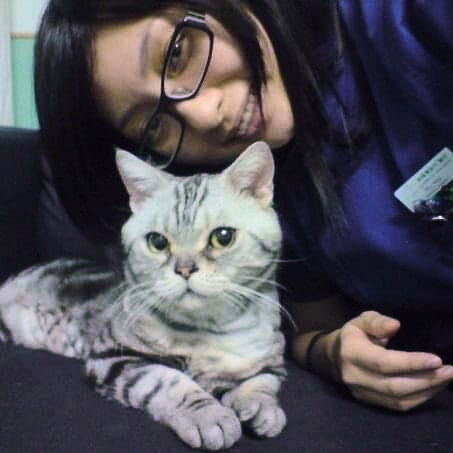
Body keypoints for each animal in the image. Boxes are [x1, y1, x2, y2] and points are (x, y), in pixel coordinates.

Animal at [0, 141, 286, 450]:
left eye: (223, 236)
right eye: (157, 242)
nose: (184, 269)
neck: (211, 331)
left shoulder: (275, 353)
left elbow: (263, 381)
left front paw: (261, 408)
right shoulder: (115, 356)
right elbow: (170, 382)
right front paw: (209, 415)